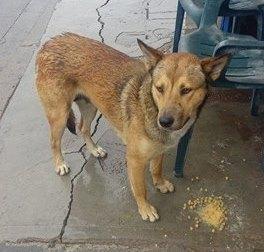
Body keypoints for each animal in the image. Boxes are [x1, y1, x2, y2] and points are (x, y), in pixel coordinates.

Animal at [36, 32, 230, 221]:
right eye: (159, 88)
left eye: (186, 90)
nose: (164, 121)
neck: (151, 106)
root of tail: (48, 44)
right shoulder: (135, 160)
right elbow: (140, 189)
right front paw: (145, 209)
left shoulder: (159, 149)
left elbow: (157, 169)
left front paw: (160, 183)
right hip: (59, 114)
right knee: (54, 141)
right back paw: (60, 164)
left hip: (90, 106)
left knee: (83, 127)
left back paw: (94, 150)